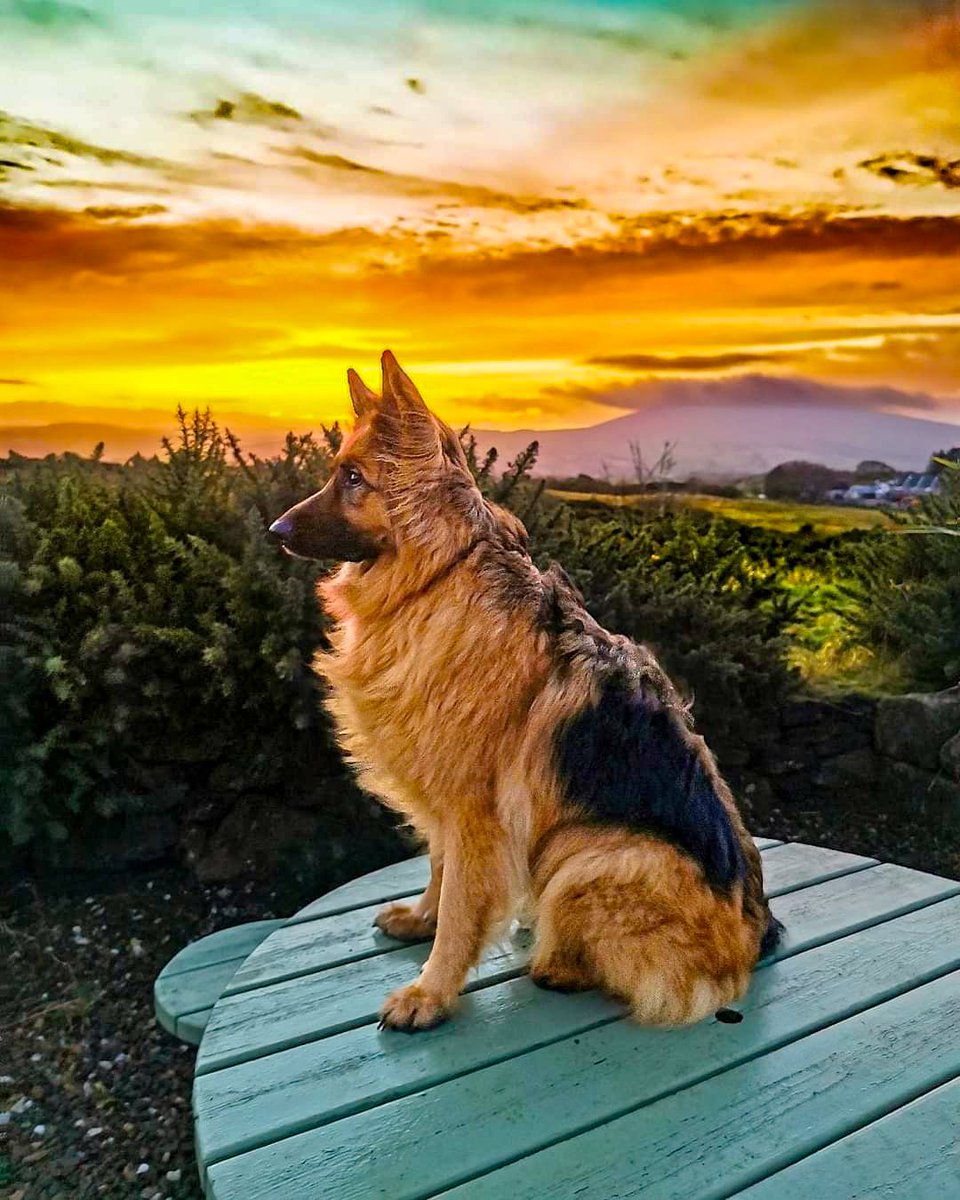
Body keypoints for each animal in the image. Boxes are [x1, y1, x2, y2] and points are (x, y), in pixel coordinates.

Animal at [267, 350, 777, 1032]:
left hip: (590, 857)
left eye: (353, 479)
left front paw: (431, 991)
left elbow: (461, 905)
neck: (440, 574)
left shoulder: (475, 809)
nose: (275, 530)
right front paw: (422, 919)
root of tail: (755, 935)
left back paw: (556, 963)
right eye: (336, 474)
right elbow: (439, 869)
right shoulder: (445, 797)